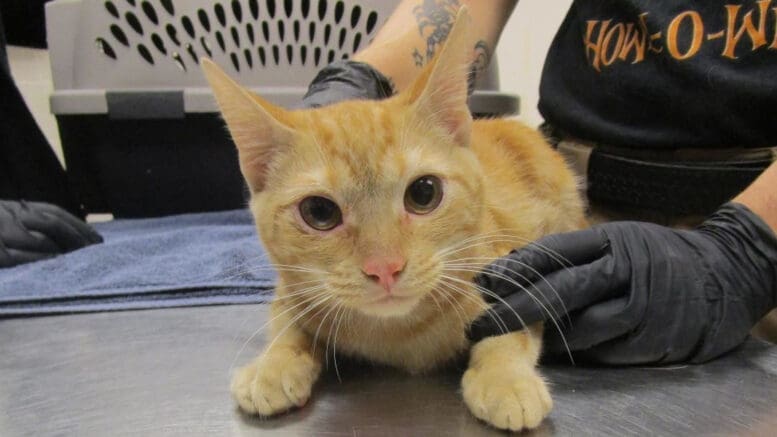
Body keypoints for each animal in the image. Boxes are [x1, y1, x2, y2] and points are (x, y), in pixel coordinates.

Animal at [200, 11, 584, 432]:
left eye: (423, 193)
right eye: (319, 212)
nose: (384, 268)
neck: (398, 334)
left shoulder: (508, 272)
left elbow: (510, 328)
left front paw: (506, 379)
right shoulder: (292, 287)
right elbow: (287, 321)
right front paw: (273, 363)